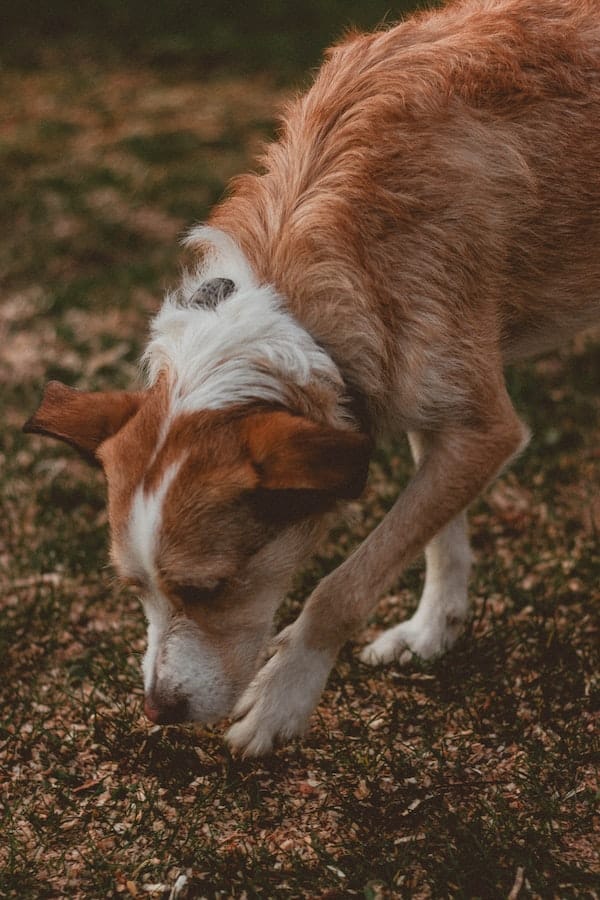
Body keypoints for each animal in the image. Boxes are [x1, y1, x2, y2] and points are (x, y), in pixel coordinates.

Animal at [23, 0, 600, 756]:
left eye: (209, 588)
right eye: (134, 587)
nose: (157, 710)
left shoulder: (485, 431)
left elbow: (344, 585)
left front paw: (283, 697)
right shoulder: (429, 403)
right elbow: (437, 535)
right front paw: (432, 629)